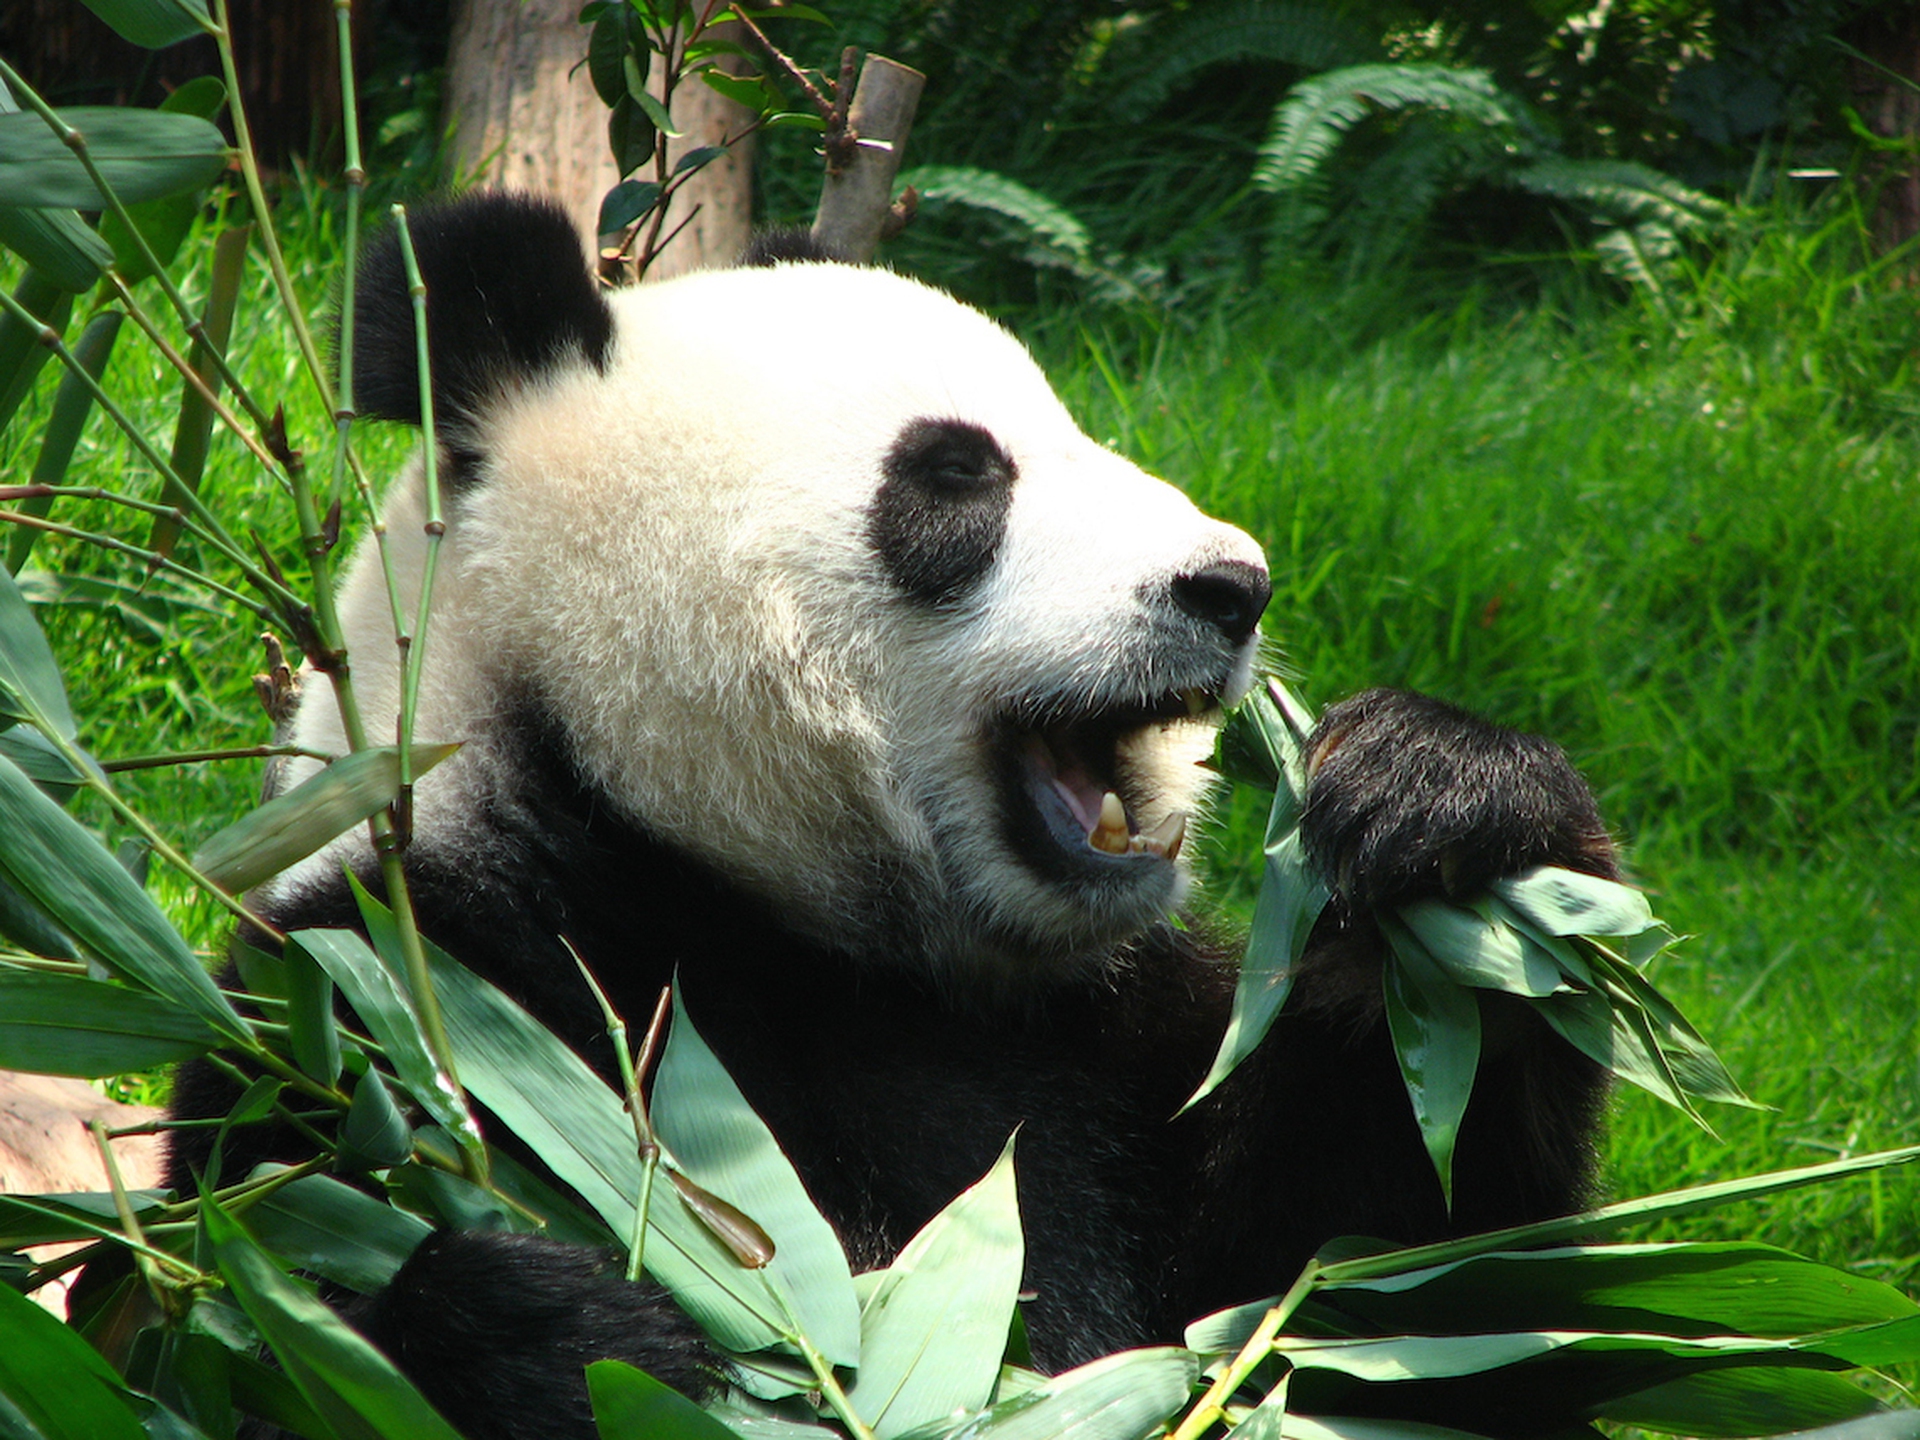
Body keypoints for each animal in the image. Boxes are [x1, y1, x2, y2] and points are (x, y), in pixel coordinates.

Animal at [168, 192, 1616, 1440]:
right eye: (959, 472)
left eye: (1079, 434)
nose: (1231, 586)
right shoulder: (392, 984)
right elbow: (284, 1287)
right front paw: (586, 1343)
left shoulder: (1123, 1029)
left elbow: (1387, 1297)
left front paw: (1445, 825)